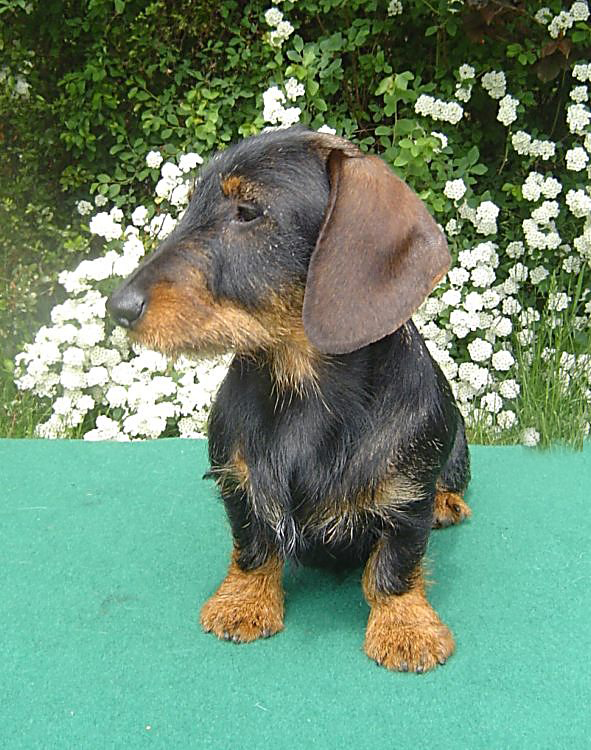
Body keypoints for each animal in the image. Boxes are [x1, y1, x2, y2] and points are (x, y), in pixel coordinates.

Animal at [108, 126, 471, 673]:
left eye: (248, 212)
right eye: (192, 204)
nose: (117, 307)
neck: (304, 392)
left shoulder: (407, 498)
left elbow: (395, 564)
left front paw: (405, 627)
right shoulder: (237, 479)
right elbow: (253, 544)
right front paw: (244, 600)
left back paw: (449, 503)